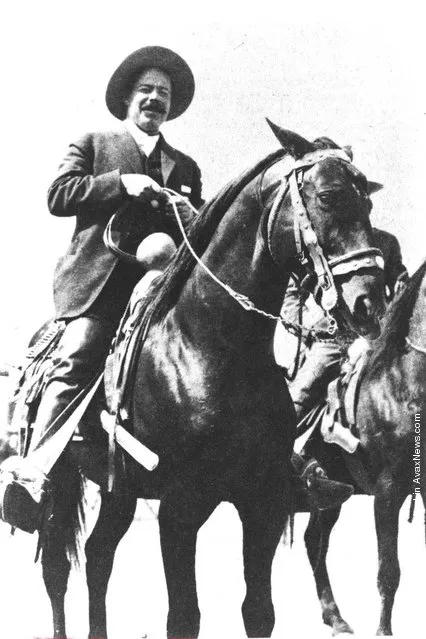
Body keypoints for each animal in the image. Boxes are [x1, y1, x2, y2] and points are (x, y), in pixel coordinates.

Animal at [38, 125, 386, 639]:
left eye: (368, 203)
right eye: (328, 196)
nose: (369, 304)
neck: (211, 346)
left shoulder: (263, 501)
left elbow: (259, 611)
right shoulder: (180, 507)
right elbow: (184, 616)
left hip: (119, 488)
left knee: (99, 556)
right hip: (63, 478)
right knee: (57, 569)